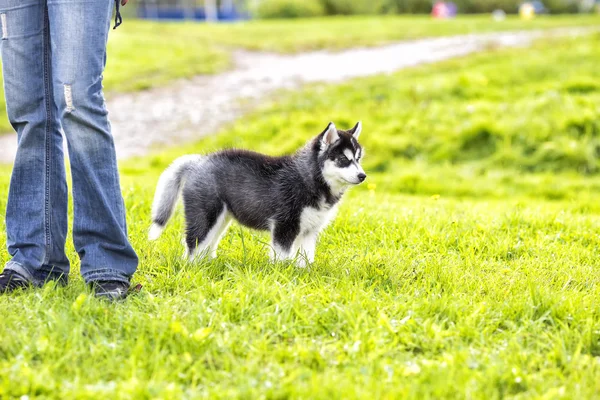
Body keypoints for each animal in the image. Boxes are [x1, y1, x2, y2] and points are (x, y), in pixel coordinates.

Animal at [150, 122, 366, 266]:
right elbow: (282, 256)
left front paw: (303, 274)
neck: (310, 177)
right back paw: (194, 267)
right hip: (205, 215)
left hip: (221, 219)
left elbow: (306, 257)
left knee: (207, 244)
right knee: (193, 243)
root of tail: (198, 162)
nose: (362, 175)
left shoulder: (309, 230)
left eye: (358, 159)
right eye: (343, 159)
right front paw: (283, 275)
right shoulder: (284, 225)